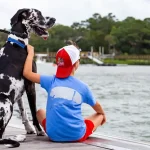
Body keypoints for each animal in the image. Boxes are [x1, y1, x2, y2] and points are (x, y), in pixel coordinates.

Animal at [0, 8, 55, 148]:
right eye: (38, 14)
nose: (54, 19)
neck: (17, 43)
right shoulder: (31, 85)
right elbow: (34, 112)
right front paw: (39, 131)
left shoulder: (19, 90)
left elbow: (23, 110)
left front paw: (29, 128)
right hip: (6, 102)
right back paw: (18, 137)